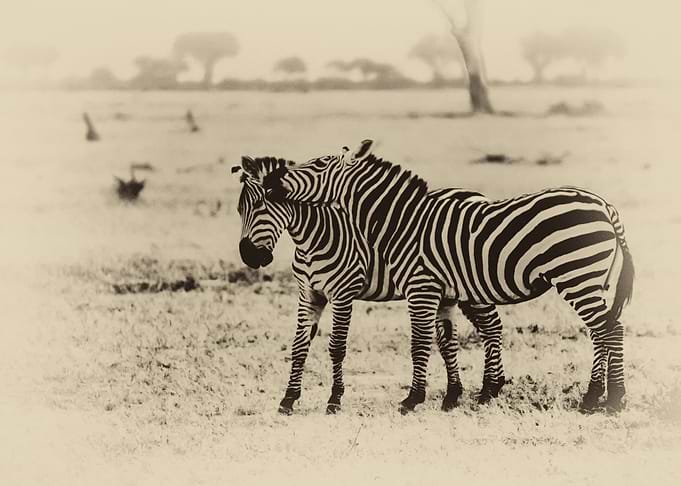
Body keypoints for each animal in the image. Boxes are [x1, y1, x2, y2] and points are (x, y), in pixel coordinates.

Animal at [234, 155, 506, 414]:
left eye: (261, 205)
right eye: (239, 210)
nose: (248, 256)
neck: (314, 237)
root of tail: (476, 194)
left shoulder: (343, 294)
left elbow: (337, 347)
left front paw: (334, 400)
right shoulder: (309, 295)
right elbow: (299, 346)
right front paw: (289, 399)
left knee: (492, 327)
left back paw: (490, 389)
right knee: (468, 334)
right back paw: (470, 391)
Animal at [263, 140, 635, 414]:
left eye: (318, 164)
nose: (269, 181)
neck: (402, 223)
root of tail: (605, 206)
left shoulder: (421, 288)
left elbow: (419, 342)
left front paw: (412, 399)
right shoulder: (441, 292)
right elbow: (443, 342)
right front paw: (448, 396)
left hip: (577, 275)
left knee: (610, 330)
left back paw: (611, 400)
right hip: (589, 280)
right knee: (602, 331)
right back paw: (594, 397)